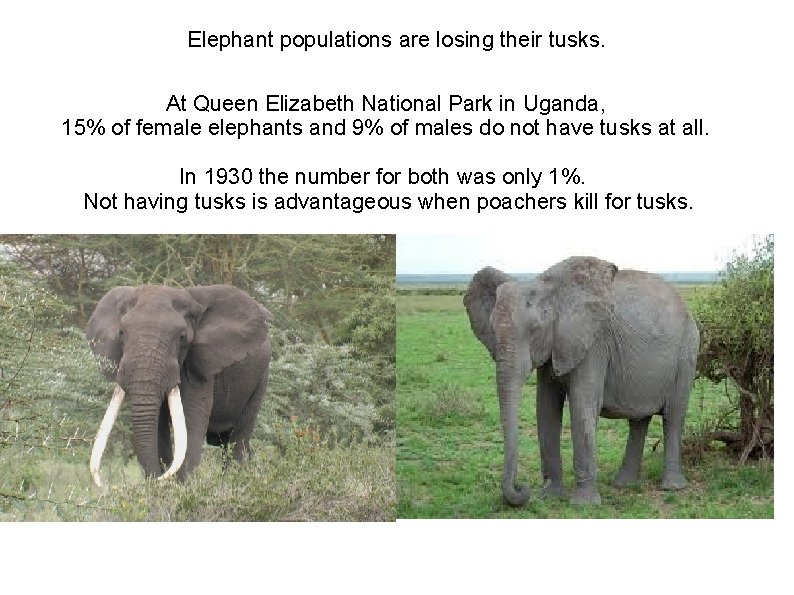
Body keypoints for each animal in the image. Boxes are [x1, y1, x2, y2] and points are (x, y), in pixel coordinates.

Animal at [86, 284, 273, 487]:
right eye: (121, 333)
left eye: (182, 337)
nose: (154, 479)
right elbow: (158, 425)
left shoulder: (199, 366)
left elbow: (191, 420)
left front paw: (180, 486)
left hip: (260, 379)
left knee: (239, 437)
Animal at [464, 256, 699, 506]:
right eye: (492, 330)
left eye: (536, 329)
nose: (522, 488)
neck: (552, 289)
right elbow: (545, 408)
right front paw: (550, 496)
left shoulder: (594, 342)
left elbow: (581, 405)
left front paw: (584, 505)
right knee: (639, 419)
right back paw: (624, 484)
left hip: (688, 350)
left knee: (673, 416)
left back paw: (672, 487)